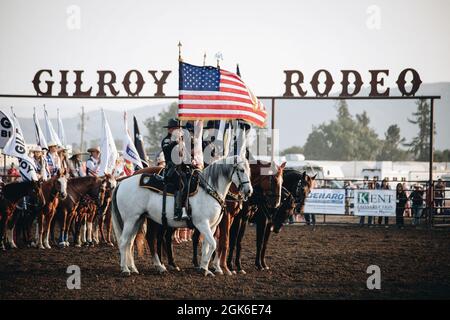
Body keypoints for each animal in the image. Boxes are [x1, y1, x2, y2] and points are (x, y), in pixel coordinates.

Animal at [111, 156, 253, 276]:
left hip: (138, 219)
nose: (249, 191)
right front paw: (207, 268)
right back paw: (125, 269)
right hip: (130, 220)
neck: (209, 190)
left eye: (249, 170)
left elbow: (207, 245)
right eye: (241, 170)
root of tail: (121, 183)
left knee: (130, 242)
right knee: (124, 241)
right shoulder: (202, 224)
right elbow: (213, 244)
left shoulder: (212, 227)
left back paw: (138, 268)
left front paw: (205, 268)